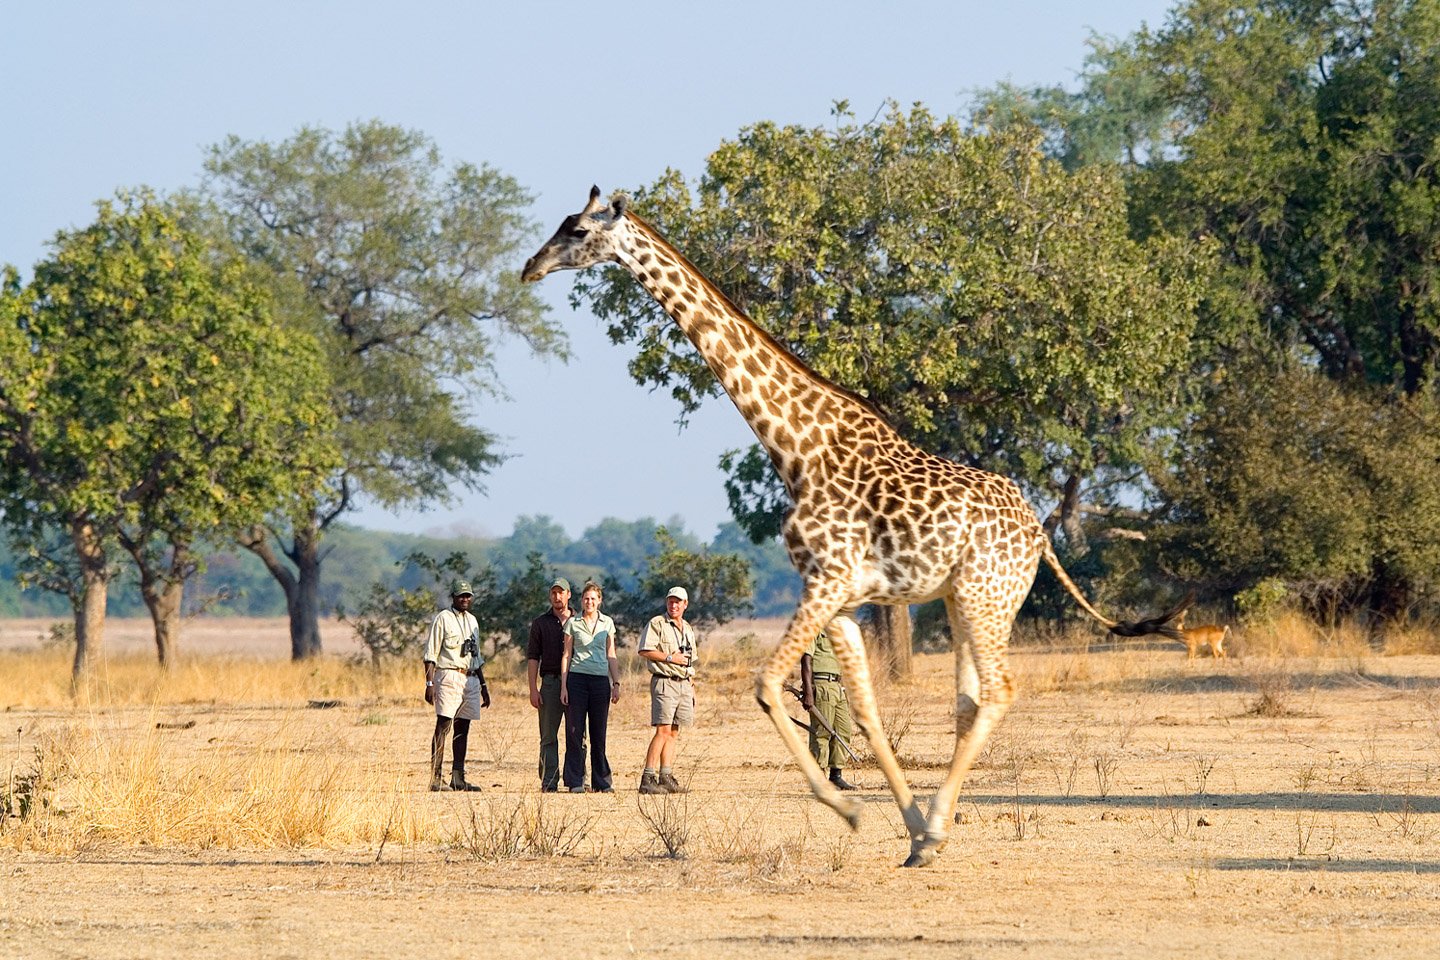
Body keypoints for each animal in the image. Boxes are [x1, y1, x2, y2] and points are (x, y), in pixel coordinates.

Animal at [524, 184, 1186, 869]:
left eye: (577, 230)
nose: (529, 268)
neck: (796, 448)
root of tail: (1040, 533)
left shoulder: (826, 579)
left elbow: (767, 685)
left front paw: (851, 809)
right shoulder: (842, 597)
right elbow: (862, 709)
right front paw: (908, 826)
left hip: (988, 596)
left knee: (999, 690)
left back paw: (939, 825)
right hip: (961, 598)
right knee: (969, 700)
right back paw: (933, 830)